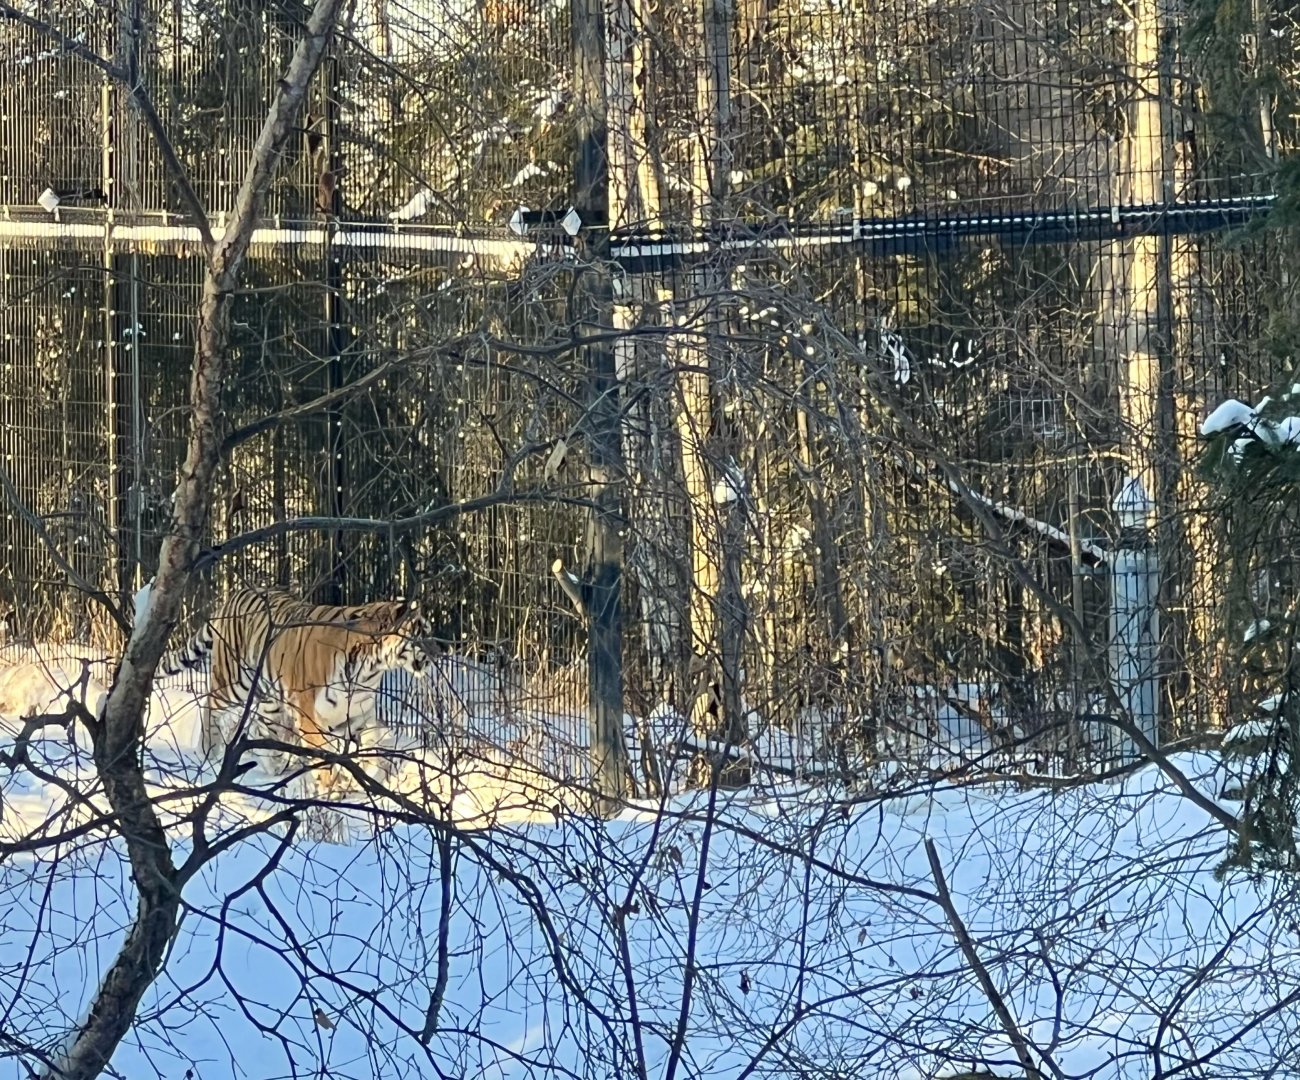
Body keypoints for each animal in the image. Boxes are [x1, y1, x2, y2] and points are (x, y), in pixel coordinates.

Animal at [160, 586, 435, 792]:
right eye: (422, 634)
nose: (439, 652)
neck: (371, 668)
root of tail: (236, 594)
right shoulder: (311, 717)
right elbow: (325, 755)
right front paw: (331, 790)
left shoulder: (357, 716)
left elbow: (369, 746)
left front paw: (365, 780)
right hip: (233, 681)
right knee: (210, 707)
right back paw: (209, 754)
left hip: (269, 698)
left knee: (261, 728)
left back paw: (276, 767)